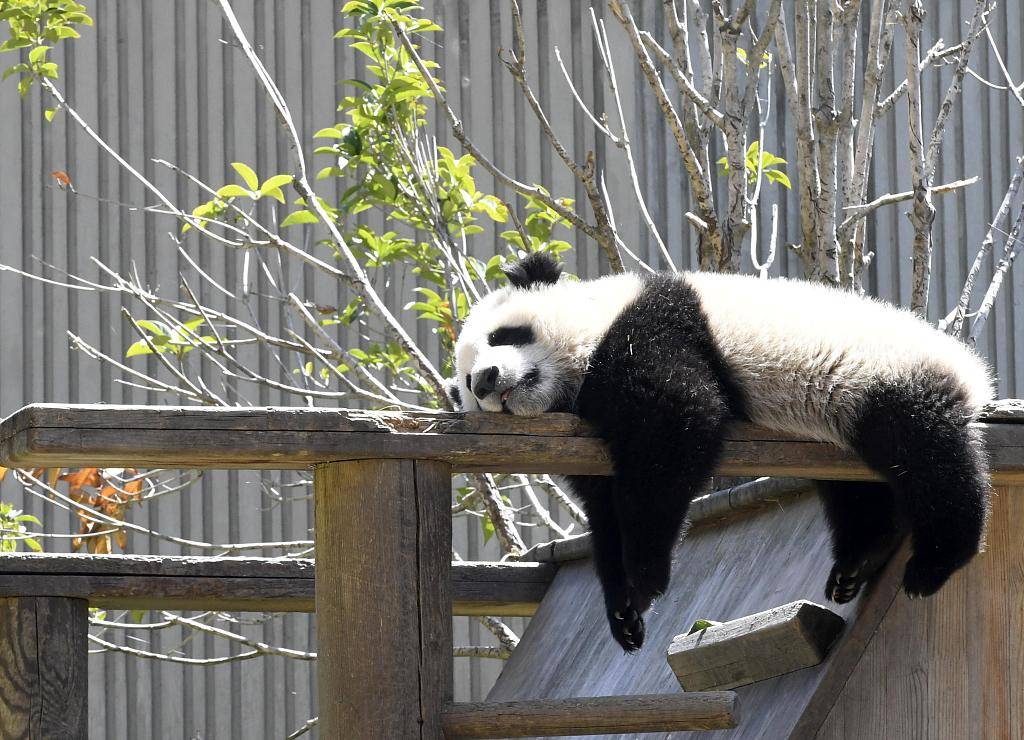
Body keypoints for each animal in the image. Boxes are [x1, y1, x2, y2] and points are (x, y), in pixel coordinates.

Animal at [448, 254, 991, 655]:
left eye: (504, 335)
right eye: (468, 386)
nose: (487, 379)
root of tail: (972, 371)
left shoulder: (652, 329)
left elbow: (679, 425)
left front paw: (646, 576)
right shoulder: (586, 443)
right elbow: (604, 511)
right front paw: (624, 612)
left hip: (883, 378)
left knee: (927, 453)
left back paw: (935, 561)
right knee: (859, 492)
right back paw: (857, 563)